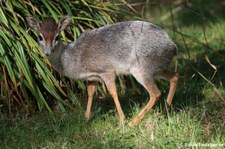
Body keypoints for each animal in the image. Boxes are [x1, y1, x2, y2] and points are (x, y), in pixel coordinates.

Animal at [25, 15, 178, 125]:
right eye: (39, 36)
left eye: (57, 36)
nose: (47, 53)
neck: (75, 58)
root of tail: (173, 46)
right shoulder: (93, 77)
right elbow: (90, 93)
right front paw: (86, 120)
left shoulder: (107, 71)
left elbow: (113, 92)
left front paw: (122, 120)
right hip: (156, 69)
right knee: (175, 76)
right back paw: (163, 113)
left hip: (141, 70)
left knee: (155, 93)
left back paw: (133, 122)